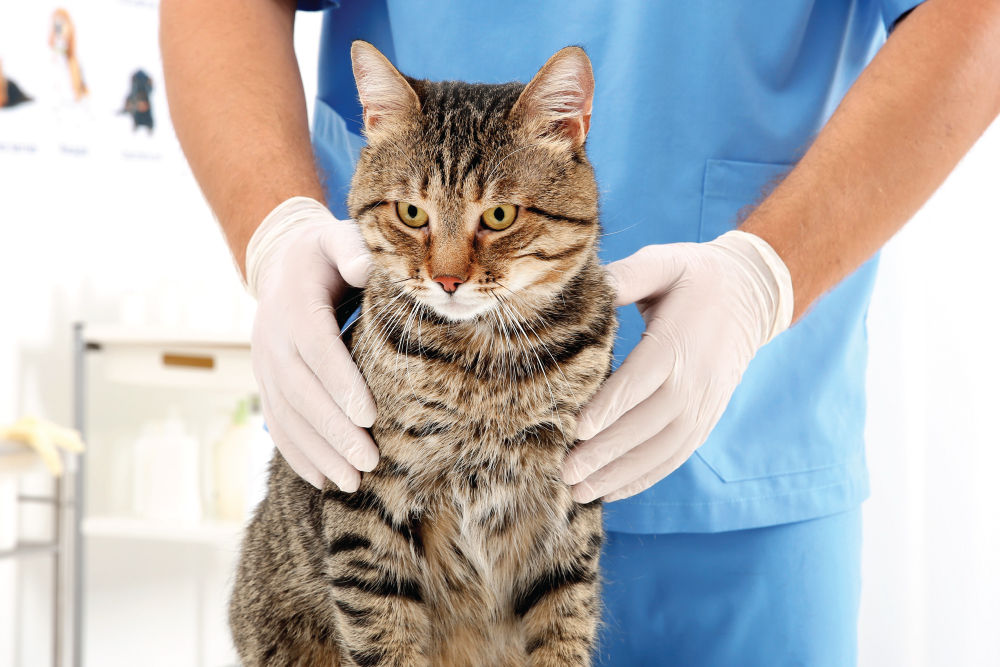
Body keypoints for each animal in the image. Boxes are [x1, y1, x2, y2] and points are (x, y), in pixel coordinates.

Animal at [229, 41, 612, 667]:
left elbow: (563, 630)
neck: (485, 363)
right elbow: (383, 635)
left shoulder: (567, 515)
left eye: (499, 215)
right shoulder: (367, 509)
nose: (447, 279)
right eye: (412, 213)